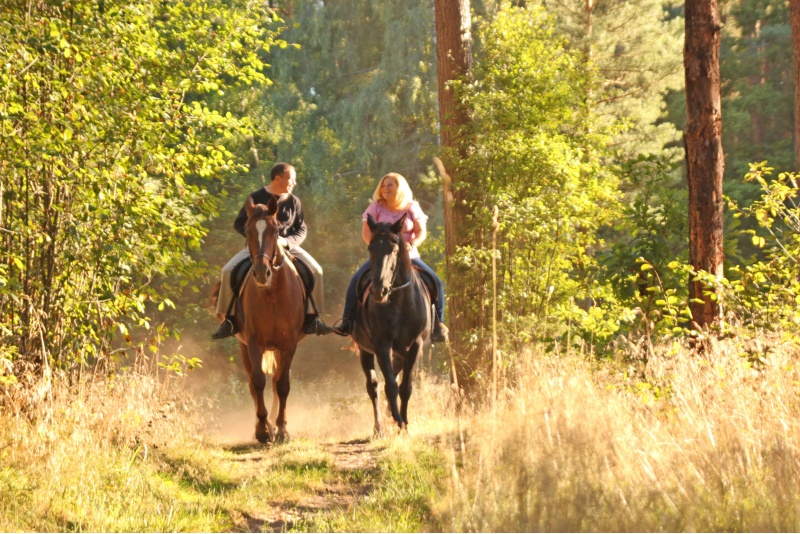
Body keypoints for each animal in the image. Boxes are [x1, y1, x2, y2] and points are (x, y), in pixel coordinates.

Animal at [220, 197, 308, 444]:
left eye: (276, 231)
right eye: (248, 230)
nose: (261, 273)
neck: (272, 294)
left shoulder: (288, 345)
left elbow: (282, 385)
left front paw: (282, 430)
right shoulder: (253, 342)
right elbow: (258, 382)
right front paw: (263, 430)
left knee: (277, 381)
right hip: (244, 346)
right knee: (253, 383)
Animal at [354, 216, 434, 438]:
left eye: (394, 248)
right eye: (371, 248)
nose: (378, 291)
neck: (399, 300)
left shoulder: (415, 345)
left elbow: (405, 386)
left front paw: (404, 423)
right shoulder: (381, 345)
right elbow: (390, 385)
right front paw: (398, 420)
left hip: (400, 353)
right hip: (365, 350)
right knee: (373, 386)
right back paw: (379, 427)